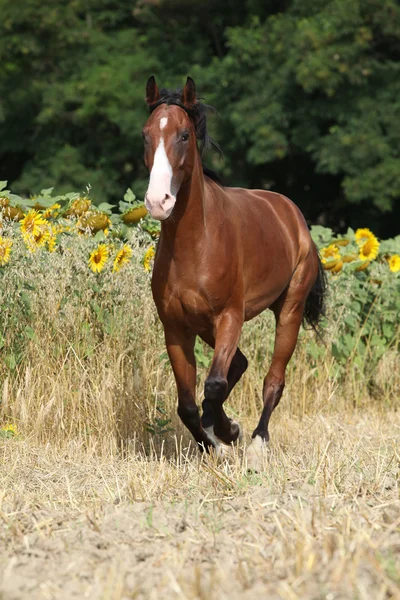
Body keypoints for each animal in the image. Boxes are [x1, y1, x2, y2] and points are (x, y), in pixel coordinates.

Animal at [142, 75, 326, 472]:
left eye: (184, 135)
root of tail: (294, 216)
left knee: (273, 379)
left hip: (289, 310)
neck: (196, 245)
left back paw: (256, 444)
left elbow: (213, 385)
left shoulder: (229, 316)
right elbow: (187, 403)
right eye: (146, 135)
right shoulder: (176, 328)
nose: (158, 202)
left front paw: (229, 434)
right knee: (238, 365)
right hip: (205, 327)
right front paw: (216, 443)